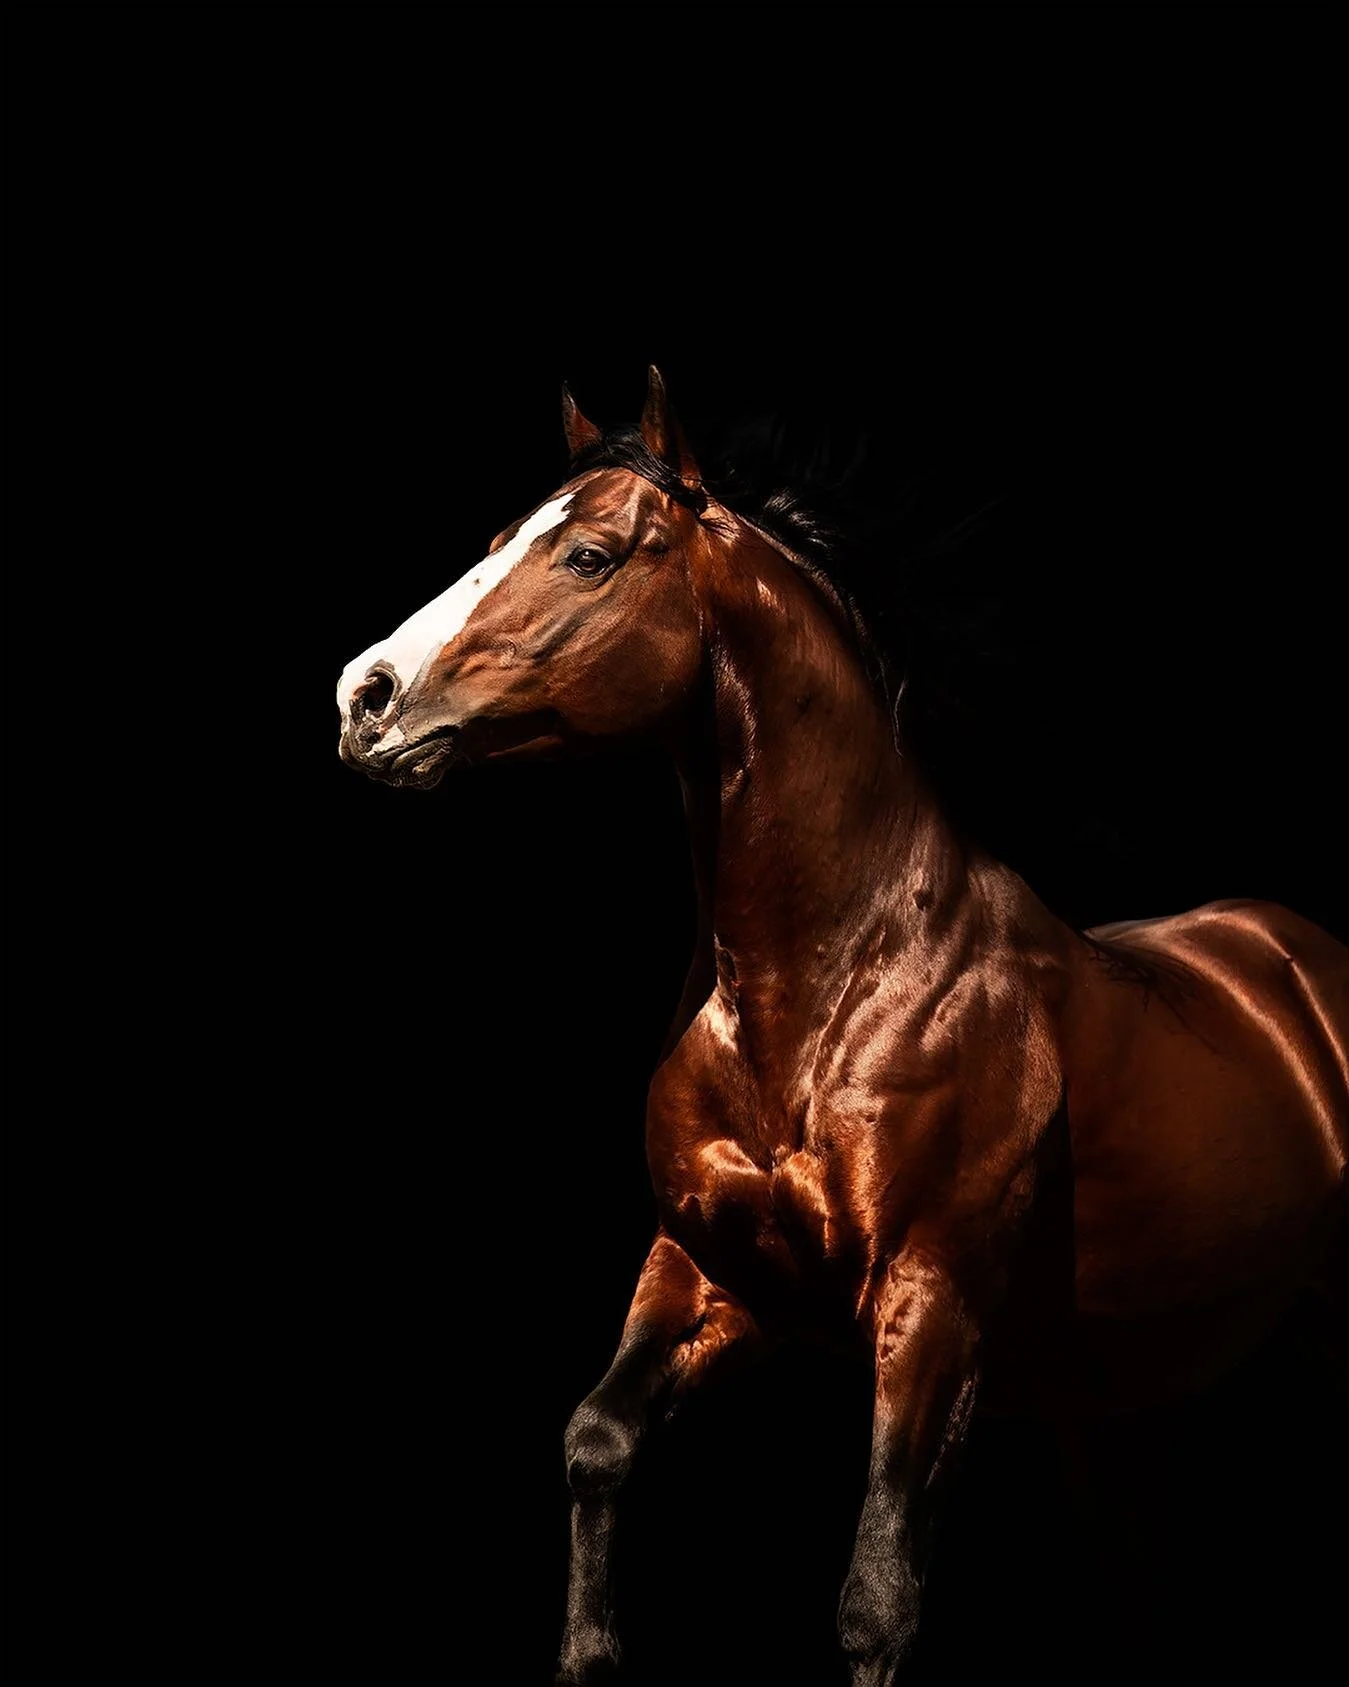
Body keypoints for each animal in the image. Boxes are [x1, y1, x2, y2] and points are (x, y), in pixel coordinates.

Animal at [335, 368, 1348, 1686]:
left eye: (587, 554)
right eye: (501, 537)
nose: (363, 695)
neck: (830, 988)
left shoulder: (931, 1300)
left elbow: (875, 1594)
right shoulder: (707, 1268)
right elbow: (595, 1440)